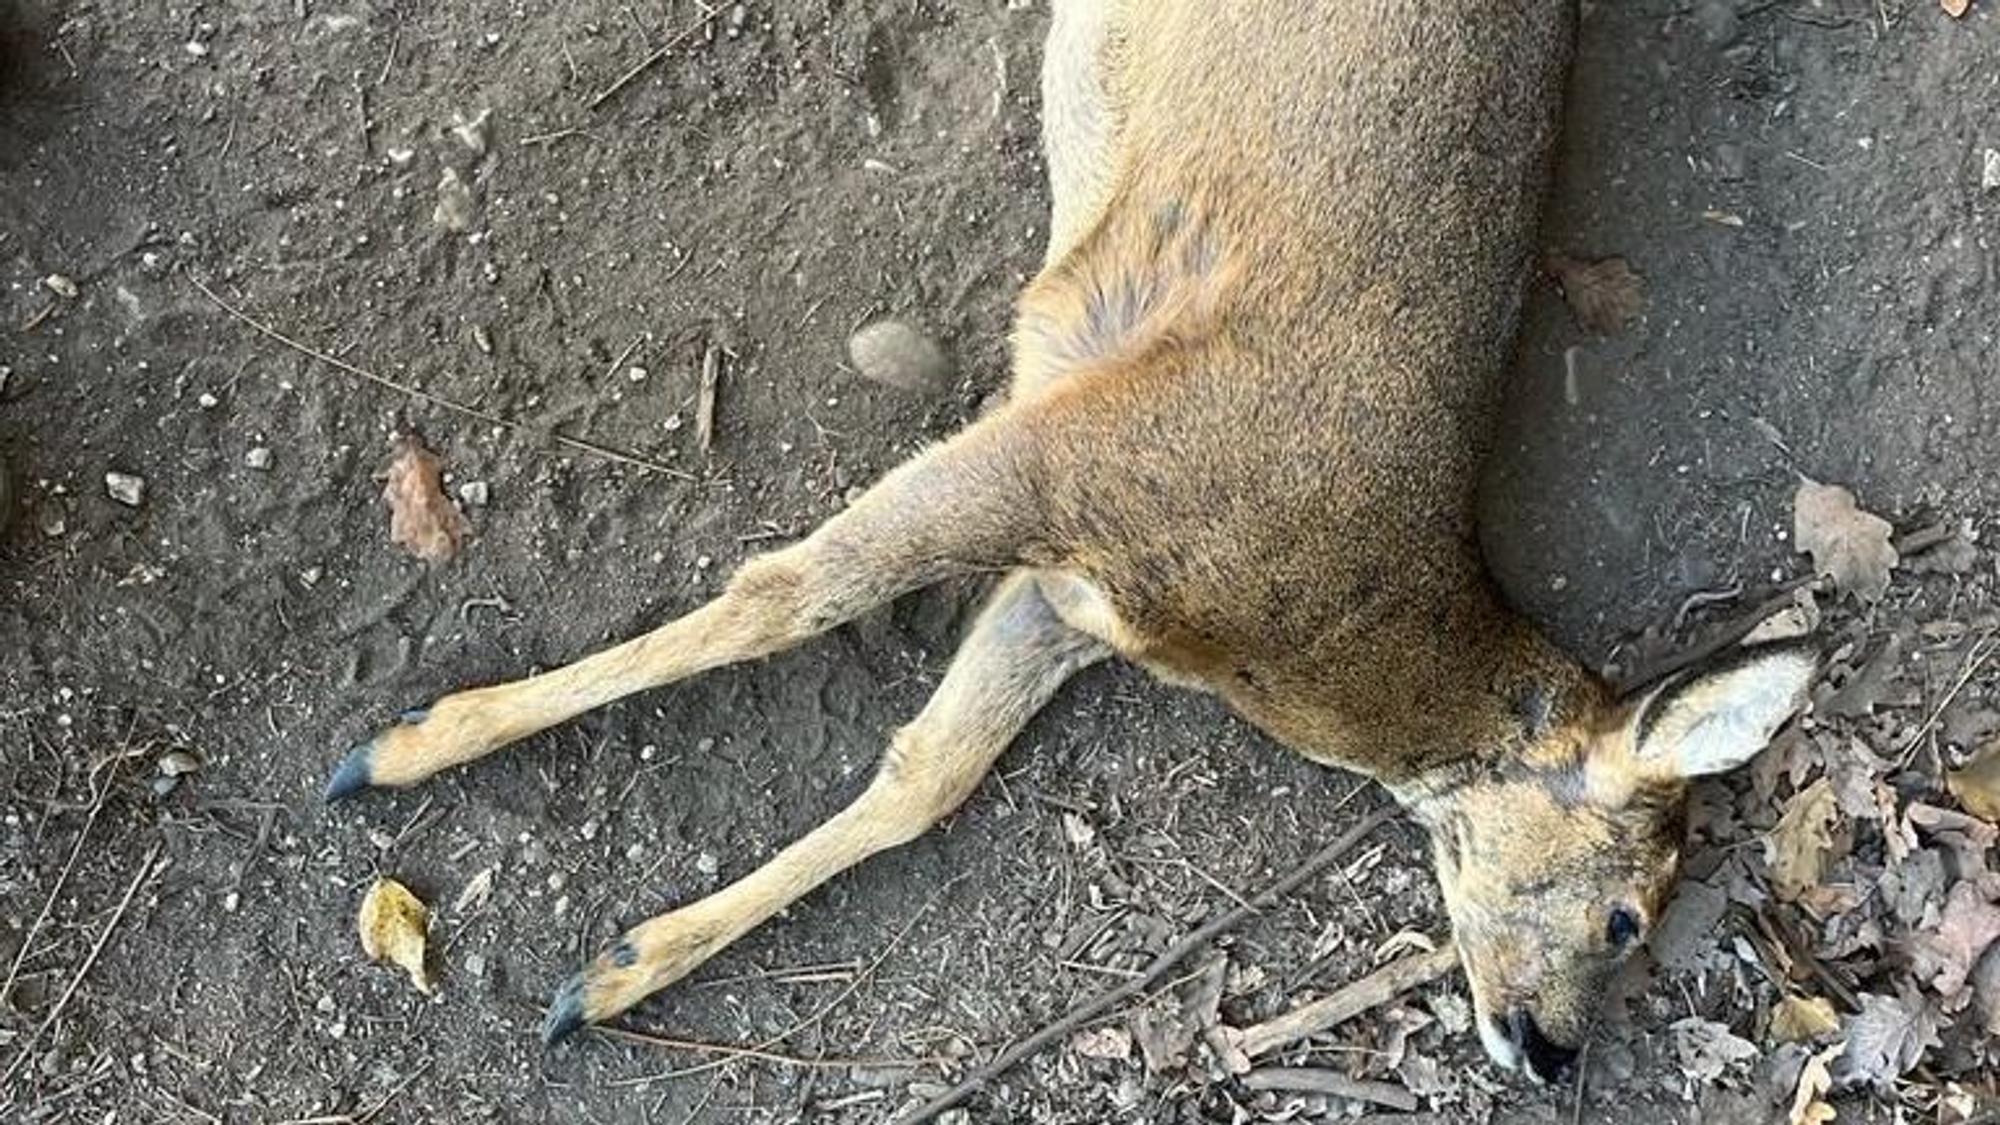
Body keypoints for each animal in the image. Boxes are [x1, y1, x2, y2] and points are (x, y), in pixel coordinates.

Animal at [325, 0, 1817, 1084]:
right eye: (1627, 914)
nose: (1553, 1056)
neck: (1310, 629)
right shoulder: (1070, 442)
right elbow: (785, 594)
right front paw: (400, 743)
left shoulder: (1069, 591)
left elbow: (929, 772)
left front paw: (613, 970)